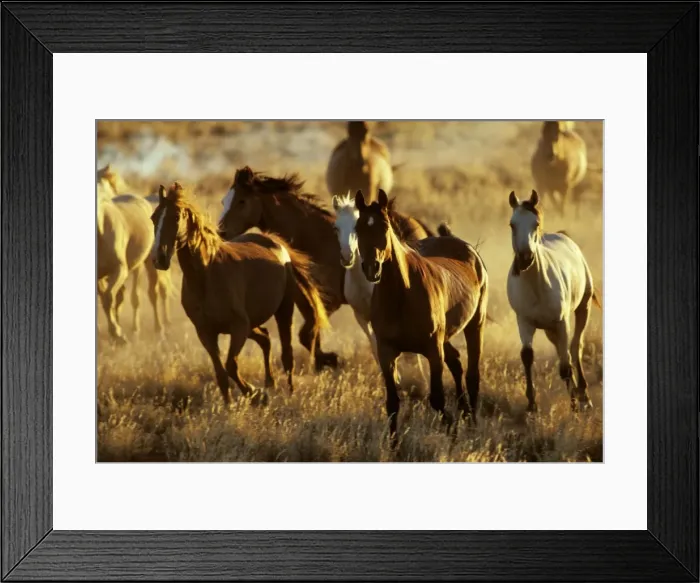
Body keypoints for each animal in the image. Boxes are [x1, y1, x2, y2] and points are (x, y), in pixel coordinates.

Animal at [152, 182, 329, 403]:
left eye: (176, 217)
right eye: (153, 218)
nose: (159, 258)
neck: (206, 276)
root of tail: (274, 242)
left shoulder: (238, 327)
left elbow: (231, 366)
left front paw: (255, 394)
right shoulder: (206, 332)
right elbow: (221, 373)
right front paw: (232, 404)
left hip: (282, 310)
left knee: (286, 354)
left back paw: (288, 392)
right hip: (252, 322)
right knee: (265, 338)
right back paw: (269, 384)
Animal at [332, 193, 433, 384]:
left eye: (355, 227)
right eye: (336, 227)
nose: (347, 257)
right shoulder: (361, 317)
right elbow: (374, 345)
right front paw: (393, 375)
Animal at [354, 189, 489, 445]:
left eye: (385, 226)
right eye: (358, 228)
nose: (371, 268)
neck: (402, 294)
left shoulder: (432, 350)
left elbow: (436, 398)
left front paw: (452, 431)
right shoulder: (387, 352)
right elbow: (392, 403)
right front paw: (394, 445)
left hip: (475, 324)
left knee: (472, 375)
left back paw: (473, 424)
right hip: (446, 337)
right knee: (456, 363)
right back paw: (465, 412)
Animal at [506, 190, 599, 412]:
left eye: (536, 223)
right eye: (512, 224)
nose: (525, 258)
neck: (537, 287)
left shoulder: (561, 322)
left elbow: (565, 365)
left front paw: (574, 405)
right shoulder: (524, 322)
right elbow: (527, 356)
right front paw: (531, 404)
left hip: (582, 309)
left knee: (575, 348)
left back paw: (584, 396)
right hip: (549, 329)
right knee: (563, 352)